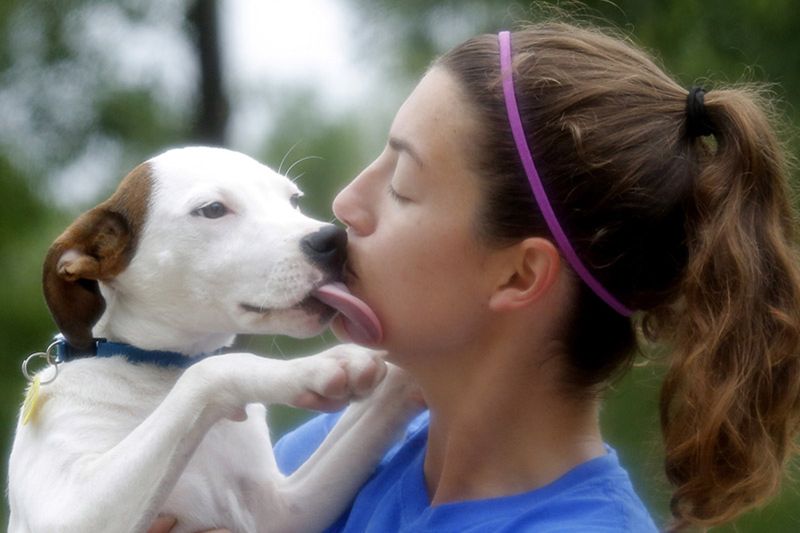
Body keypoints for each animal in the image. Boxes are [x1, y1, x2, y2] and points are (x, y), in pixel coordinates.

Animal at [7, 148, 418, 532]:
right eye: (213, 210)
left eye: (293, 200)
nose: (334, 239)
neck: (158, 371)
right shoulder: (71, 510)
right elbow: (210, 370)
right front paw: (309, 368)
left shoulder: (284, 510)